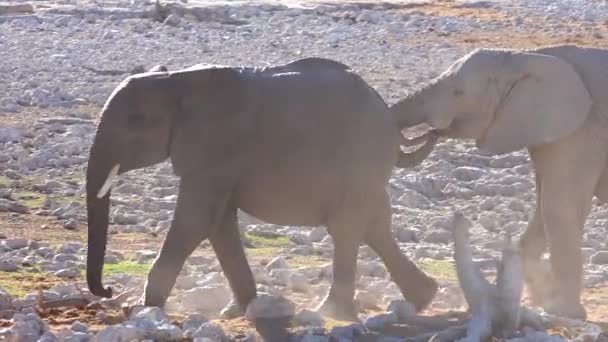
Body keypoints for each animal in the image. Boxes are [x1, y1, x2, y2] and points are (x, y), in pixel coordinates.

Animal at [85, 56, 436, 320]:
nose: (108, 290)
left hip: (361, 158)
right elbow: (219, 225)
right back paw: (424, 298)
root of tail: (389, 118)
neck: (176, 82)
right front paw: (238, 311)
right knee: (375, 226)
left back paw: (330, 312)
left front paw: (145, 308)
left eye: (135, 120)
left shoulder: (215, 148)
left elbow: (195, 221)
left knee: (347, 228)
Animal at [390, 44, 608, 320]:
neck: (528, 56)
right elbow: (543, 208)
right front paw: (538, 302)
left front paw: (564, 313)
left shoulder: (583, 131)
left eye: (458, 93)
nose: (433, 132)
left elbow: (559, 209)